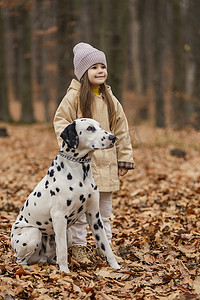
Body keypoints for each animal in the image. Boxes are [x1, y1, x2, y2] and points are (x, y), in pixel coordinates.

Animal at [10, 118, 120, 274]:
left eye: (99, 126)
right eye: (90, 128)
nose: (113, 137)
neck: (80, 171)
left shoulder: (94, 215)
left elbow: (105, 244)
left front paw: (116, 266)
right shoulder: (59, 216)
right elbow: (62, 250)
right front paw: (65, 272)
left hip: (68, 234)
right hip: (33, 233)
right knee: (20, 260)